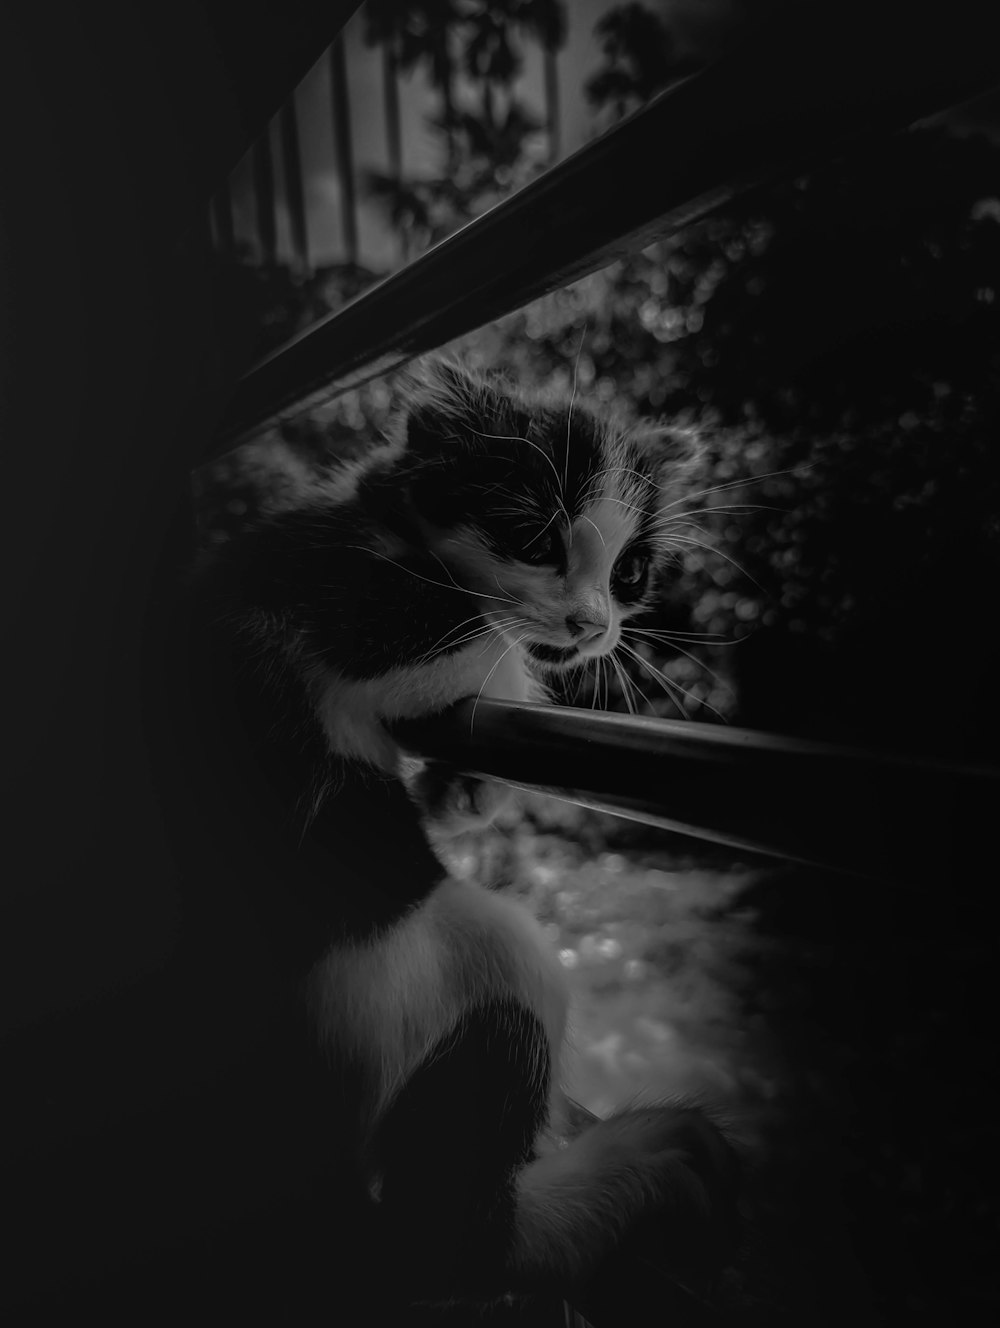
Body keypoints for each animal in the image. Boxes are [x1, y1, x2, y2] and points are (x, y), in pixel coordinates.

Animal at [195, 358, 743, 1312]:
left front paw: (466, 790)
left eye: (632, 571)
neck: (377, 523)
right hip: (443, 982)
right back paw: (634, 1166)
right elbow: (473, 633)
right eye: (534, 539)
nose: (594, 625)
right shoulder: (328, 598)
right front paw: (509, 677)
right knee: (448, 1241)